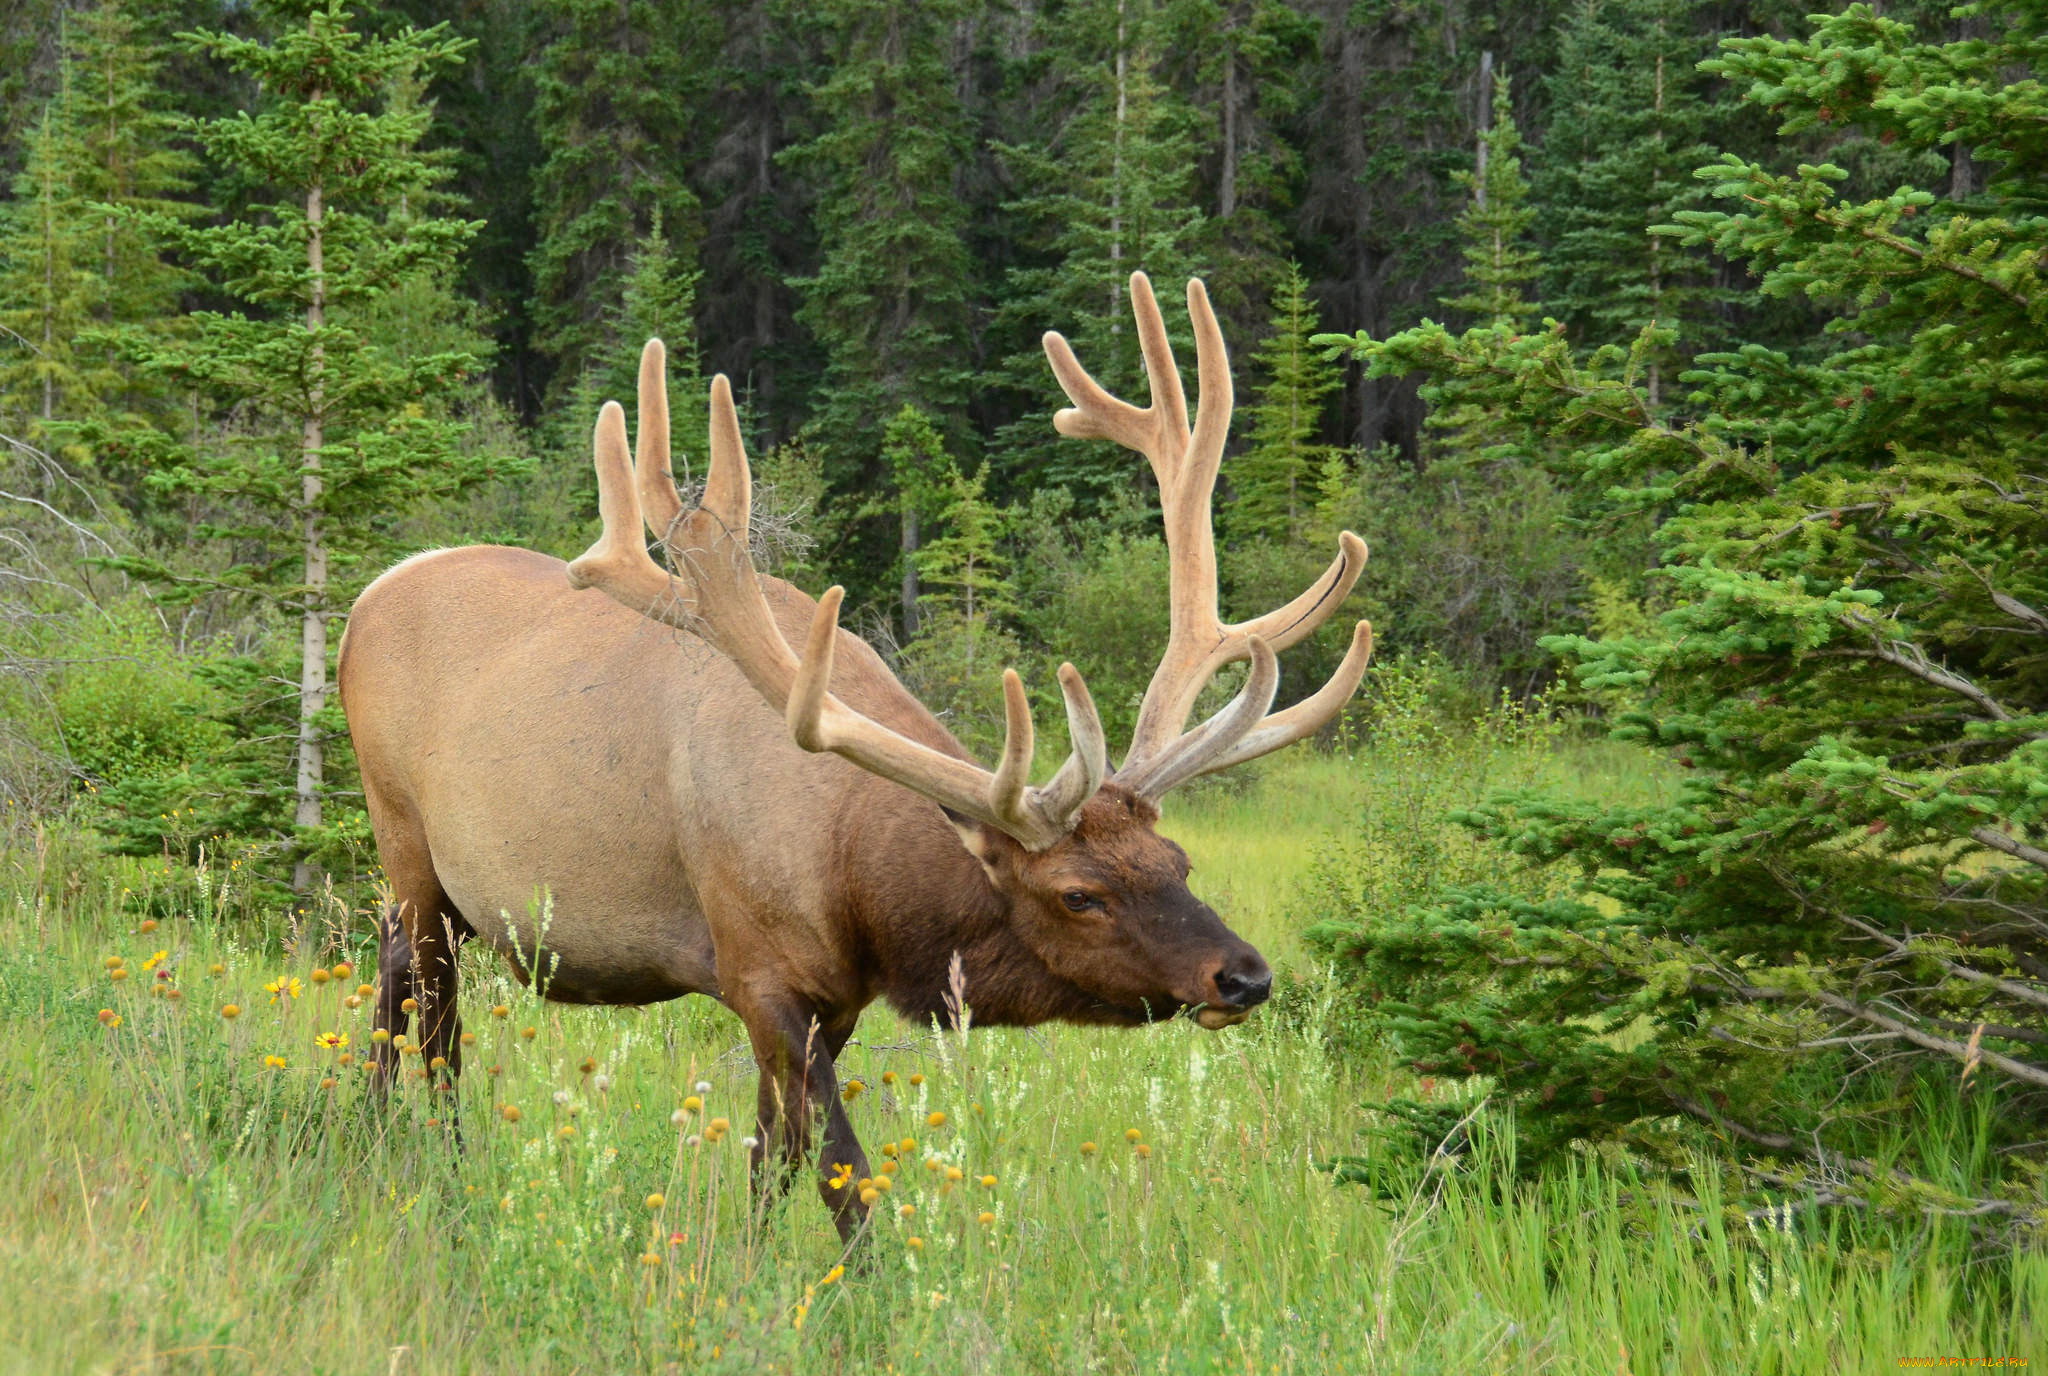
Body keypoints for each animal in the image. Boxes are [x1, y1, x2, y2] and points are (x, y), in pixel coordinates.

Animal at [339, 272, 1376, 1236]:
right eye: (1079, 895)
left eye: (1178, 860)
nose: (1244, 975)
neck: (855, 880)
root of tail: (366, 597)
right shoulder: (755, 971)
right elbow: (845, 1174)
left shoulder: (834, 1000)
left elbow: (774, 1161)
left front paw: (748, 1268)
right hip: (408, 845)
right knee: (438, 1029)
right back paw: (444, 1172)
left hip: (444, 898)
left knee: (387, 974)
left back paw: (366, 1129)